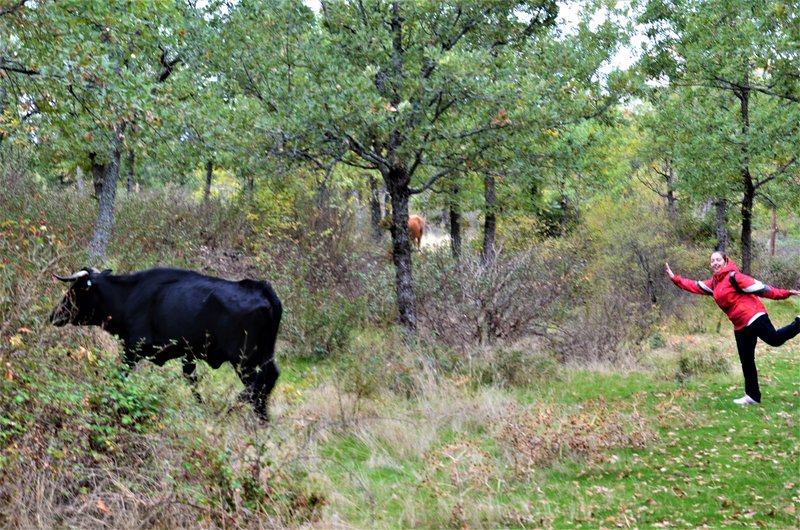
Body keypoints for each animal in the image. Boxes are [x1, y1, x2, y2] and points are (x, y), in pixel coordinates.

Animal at [49, 266, 282, 418]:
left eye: (73, 290)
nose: (53, 315)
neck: (130, 296)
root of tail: (261, 288)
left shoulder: (133, 348)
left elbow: (119, 376)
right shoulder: (188, 355)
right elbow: (192, 381)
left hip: (245, 358)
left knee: (257, 384)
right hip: (264, 354)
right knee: (269, 378)